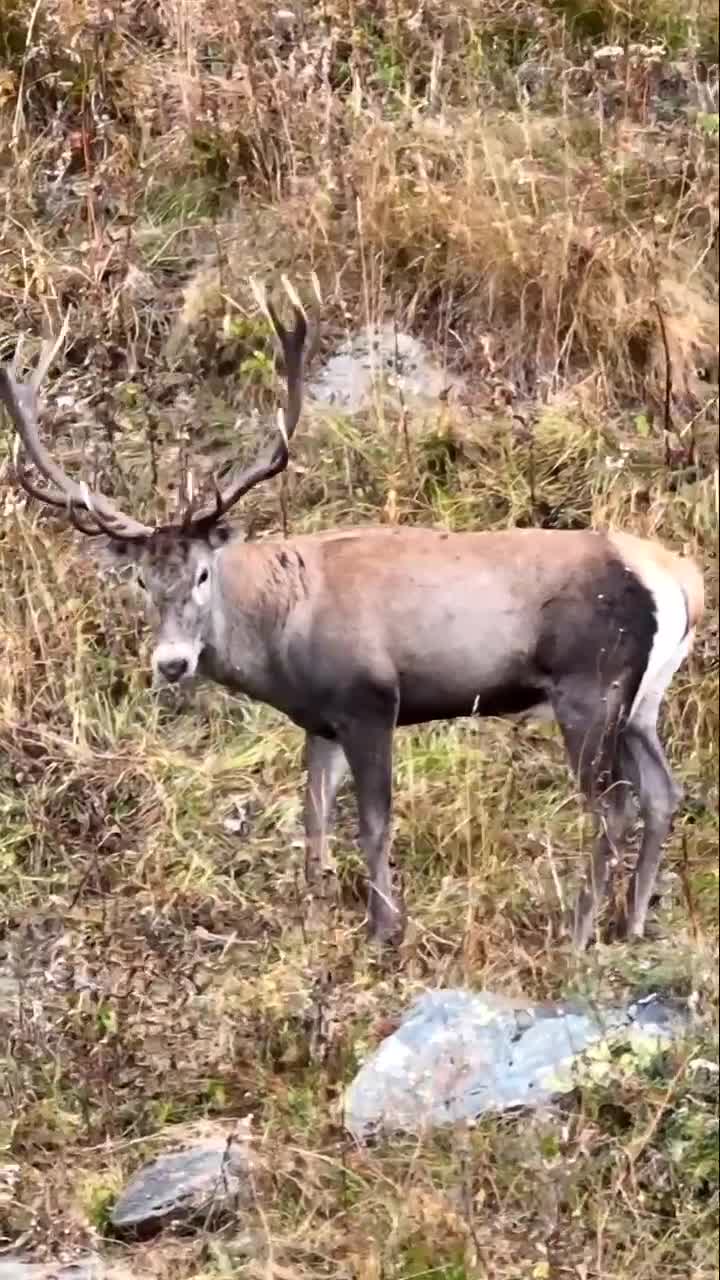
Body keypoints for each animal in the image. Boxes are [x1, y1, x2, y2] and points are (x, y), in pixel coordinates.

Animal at [0, 290, 702, 952]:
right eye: (143, 580)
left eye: (202, 574)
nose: (172, 663)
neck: (285, 632)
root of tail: (679, 580)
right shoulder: (320, 719)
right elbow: (312, 815)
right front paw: (313, 913)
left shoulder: (371, 698)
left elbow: (374, 821)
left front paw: (384, 927)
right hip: (640, 700)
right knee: (663, 792)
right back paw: (632, 921)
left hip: (590, 686)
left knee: (613, 805)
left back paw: (579, 931)